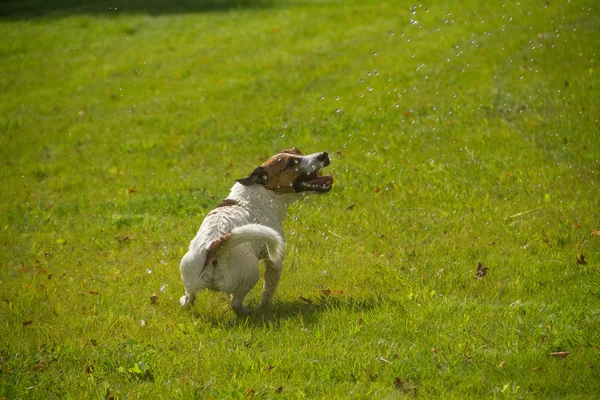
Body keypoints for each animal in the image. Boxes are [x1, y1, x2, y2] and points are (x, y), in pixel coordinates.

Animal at [180, 147, 336, 316]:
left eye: (298, 152)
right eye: (292, 162)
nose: (323, 155)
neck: (262, 191)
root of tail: (214, 247)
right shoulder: (274, 262)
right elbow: (268, 290)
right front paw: (264, 307)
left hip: (189, 276)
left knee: (190, 298)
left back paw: (184, 301)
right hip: (250, 274)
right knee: (236, 302)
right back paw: (248, 311)